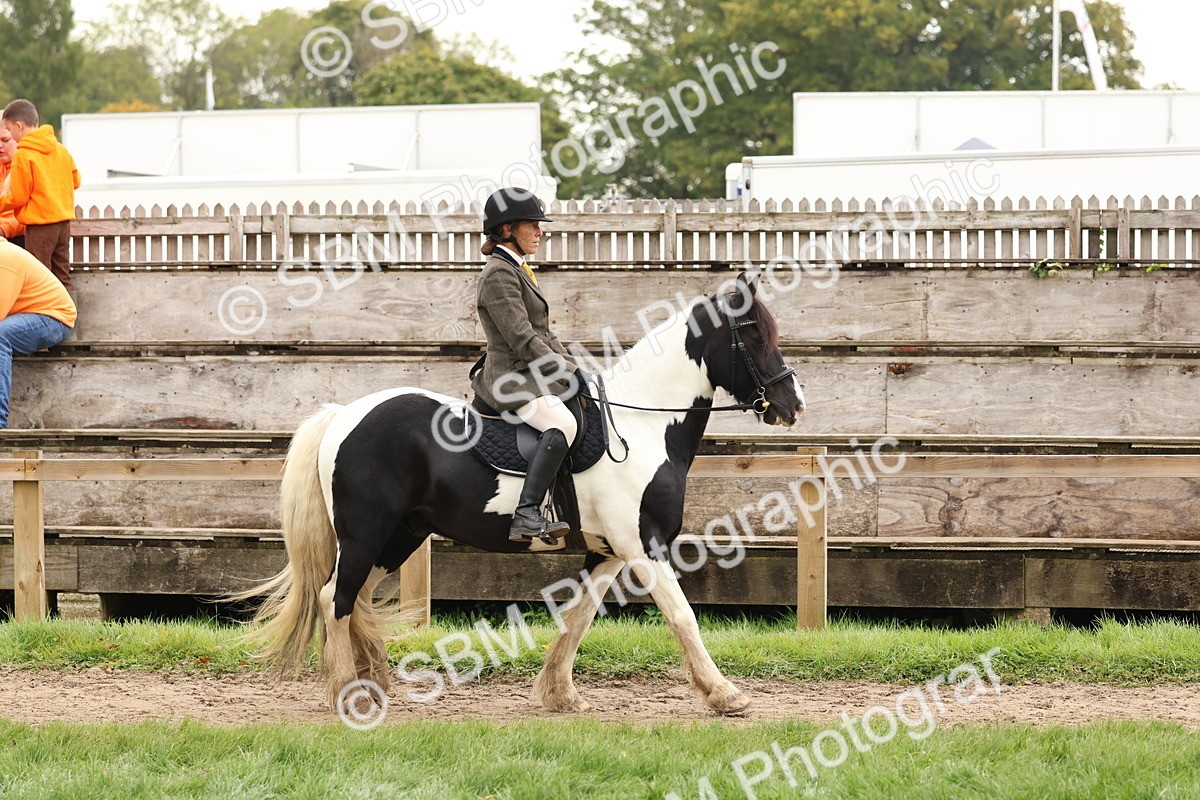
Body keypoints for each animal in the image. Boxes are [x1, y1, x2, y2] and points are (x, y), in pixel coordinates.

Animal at [238, 273, 805, 716]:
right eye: (754, 334)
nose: (793, 403)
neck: (641, 424)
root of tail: (344, 414)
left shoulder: (609, 550)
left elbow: (578, 617)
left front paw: (560, 694)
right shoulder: (644, 546)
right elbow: (682, 615)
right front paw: (725, 694)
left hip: (399, 536)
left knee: (355, 599)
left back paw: (373, 683)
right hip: (365, 535)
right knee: (335, 597)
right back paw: (348, 693)